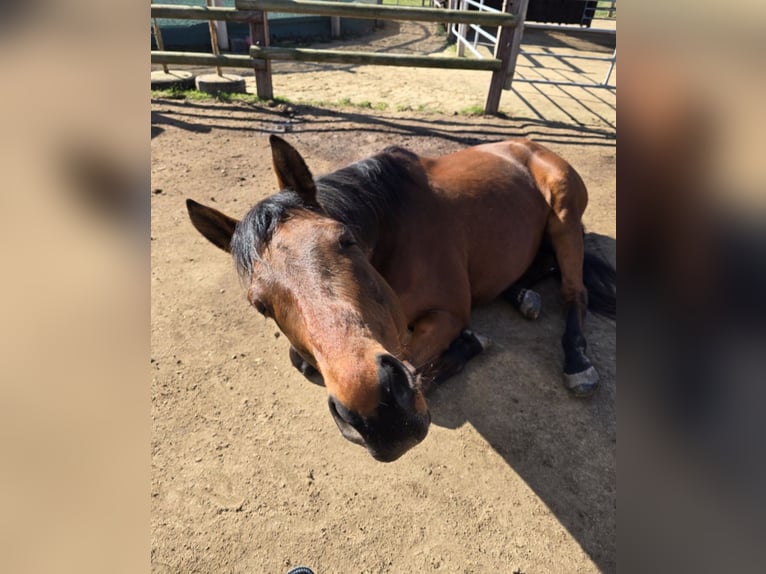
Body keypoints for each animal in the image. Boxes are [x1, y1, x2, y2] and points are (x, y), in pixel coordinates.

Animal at [186, 135, 616, 462]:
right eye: (260, 305)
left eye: (345, 239)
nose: (379, 415)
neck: (394, 231)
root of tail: (530, 145)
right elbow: (303, 362)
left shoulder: (447, 314)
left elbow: (416, 366)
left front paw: (468, 344)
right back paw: (524, 294)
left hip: (564, 216)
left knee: (575, 291)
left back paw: (578, 363)